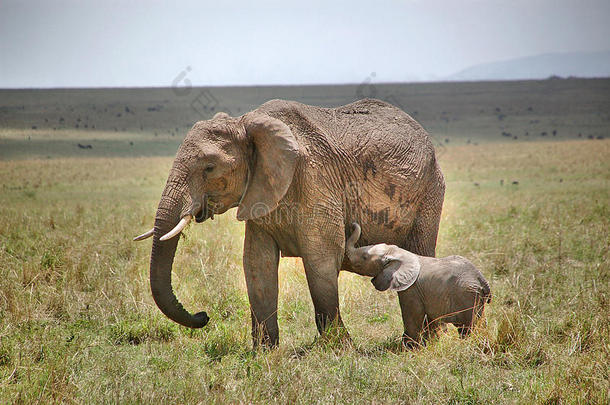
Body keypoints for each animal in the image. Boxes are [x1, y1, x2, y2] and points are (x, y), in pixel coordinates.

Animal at [133, 98, 442, 348]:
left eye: (209, 168)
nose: (203, 315)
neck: (246, 123)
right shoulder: (261, 192)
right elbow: (257, 264)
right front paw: (265, 353)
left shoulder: (317, 182)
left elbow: (321, 260)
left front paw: (340, 349)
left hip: (429, 192)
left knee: (421, 255)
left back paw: (422, 343)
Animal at [344, 223, 492, 346]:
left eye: (364, 257)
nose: (352, 224)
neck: (402, 254)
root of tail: (482, 280)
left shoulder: (411, 290)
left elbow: (412, 318)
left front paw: (409, 348)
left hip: (467, 296)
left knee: (469, 327)